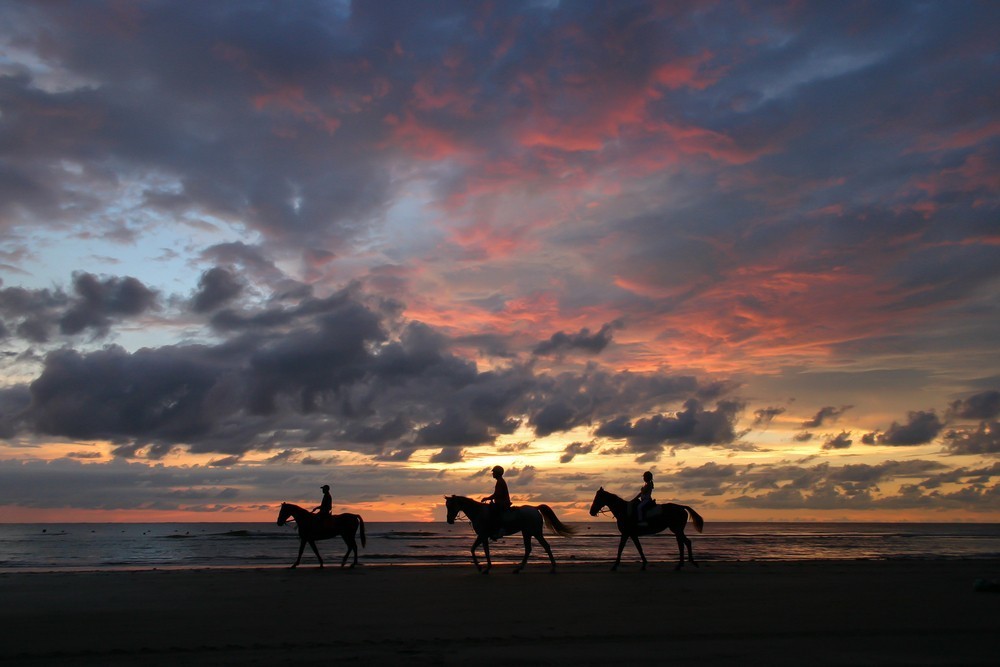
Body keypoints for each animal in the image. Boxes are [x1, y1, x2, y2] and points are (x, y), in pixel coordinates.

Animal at [444, 496, 576, 576]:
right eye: (446, 506)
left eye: (451, 506)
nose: (449, 520)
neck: (478, 512)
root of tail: (535, 508)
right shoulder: (484, 536)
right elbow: (484, 551)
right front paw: (486, 568)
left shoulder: (482, 535)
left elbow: (474, 549)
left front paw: (482, 568)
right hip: (527, 532)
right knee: (529, 549)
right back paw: (518, 569)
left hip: (535, 532)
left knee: (545, 546)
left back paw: (553, 568)